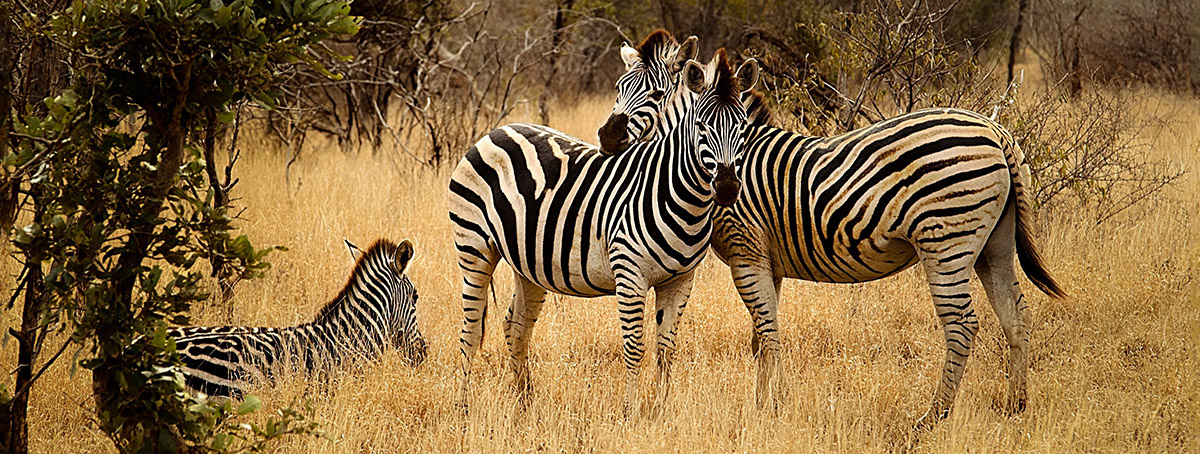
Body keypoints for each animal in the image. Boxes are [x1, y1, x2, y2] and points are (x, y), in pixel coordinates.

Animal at [447, 48, 759, 413]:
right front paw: (630, 411)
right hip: (474, 247)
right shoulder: (630, 275)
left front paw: (662, 410)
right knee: (469, 332)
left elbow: (666, 349)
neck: (675, 194)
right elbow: (635, 346)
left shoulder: (681, 280)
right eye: (701, 127)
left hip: (528, 262)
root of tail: (496, 131)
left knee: (516, 326)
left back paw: (525, 404)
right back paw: (463, 406)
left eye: (742, 126)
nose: (727, 188)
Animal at [708, 95, 1065, 427]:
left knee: (962, 324)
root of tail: (994, 129)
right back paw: (1015, 406)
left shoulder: (746, 253)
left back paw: (934, 415)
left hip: (945, 239)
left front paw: (774, 407)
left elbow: (768, 336)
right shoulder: (766, 261)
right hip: (996, 244)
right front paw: (762, 405)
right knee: (1016, 315)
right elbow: (760, 338)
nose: (724, 187)